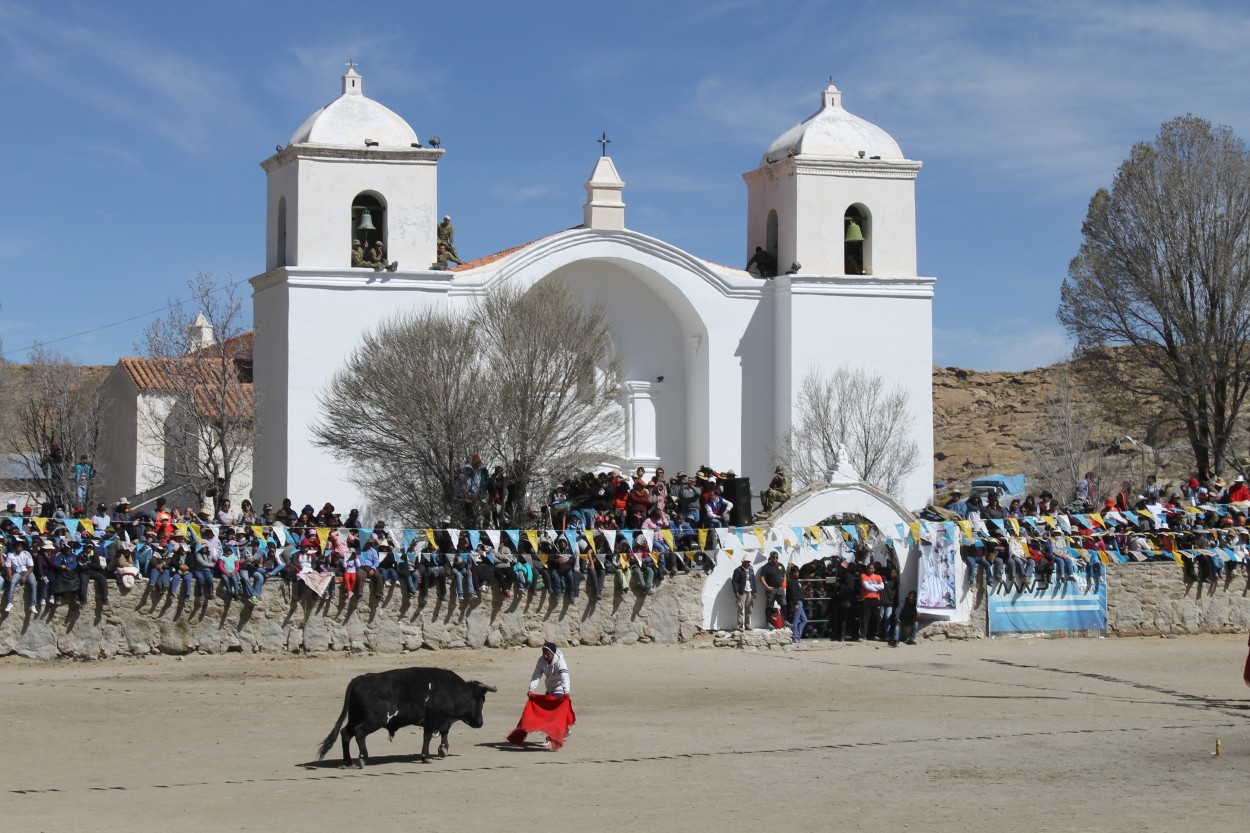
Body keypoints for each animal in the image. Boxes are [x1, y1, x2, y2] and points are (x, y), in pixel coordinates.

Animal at [315, 660, 495, 765]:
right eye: (481, 701)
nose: (480, 723)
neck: (453, 690)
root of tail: (358, 679)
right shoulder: (433, 719)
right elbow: (428, 737)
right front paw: (426, 757)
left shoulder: (442, 720)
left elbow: (443, 733)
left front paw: (442, 750)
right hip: (374, 719)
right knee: (359, 733)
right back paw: (362, 758)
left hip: (354, 716)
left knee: (345, 733)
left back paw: (347, 761)